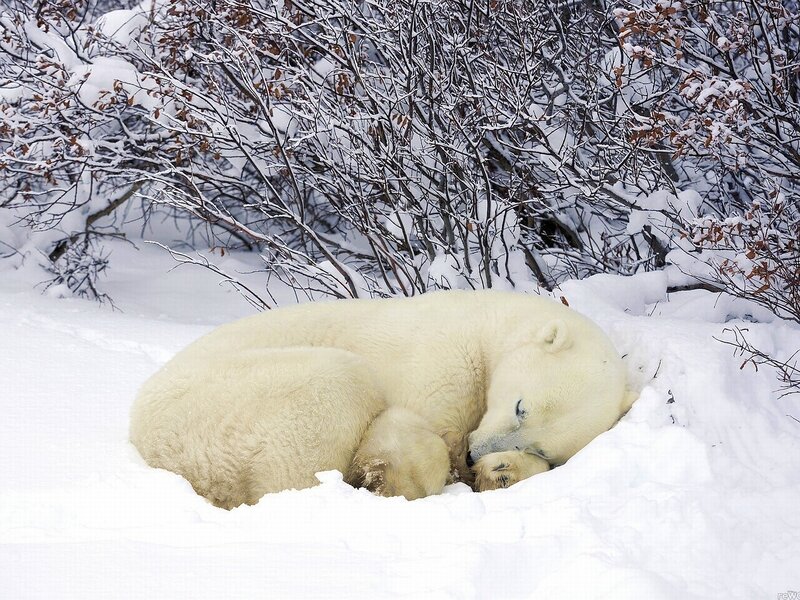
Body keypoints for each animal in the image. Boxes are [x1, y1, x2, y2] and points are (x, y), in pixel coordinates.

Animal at [130, 289, 631, 508]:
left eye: (541, 447)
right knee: (334, 389)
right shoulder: (442, 357)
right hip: (226, 405)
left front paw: (502, 472)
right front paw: (394, 478)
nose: (475, 454)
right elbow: (412, 428)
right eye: (520, 406)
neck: (488, 325)